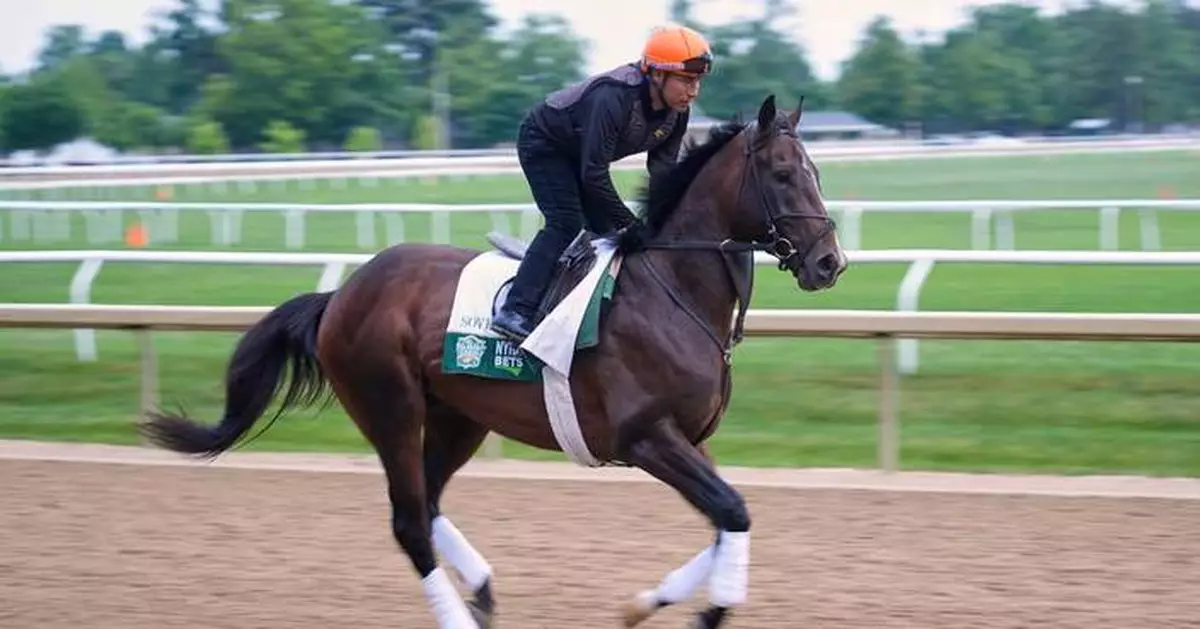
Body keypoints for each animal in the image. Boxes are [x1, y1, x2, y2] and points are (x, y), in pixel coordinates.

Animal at [139, 93, 848, 629]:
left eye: (817, 171)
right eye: (783, 174)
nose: (829, 263)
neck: (671, 289)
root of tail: (342, 293)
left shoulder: (691, 438)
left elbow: (729, 517)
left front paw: (646, 603)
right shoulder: (645, 437)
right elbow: (733, 512)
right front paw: (707, 611)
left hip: (458, 418)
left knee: (426, 504)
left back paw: (480, 588)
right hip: (390, 408)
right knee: (408, 520)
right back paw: (460, 612)